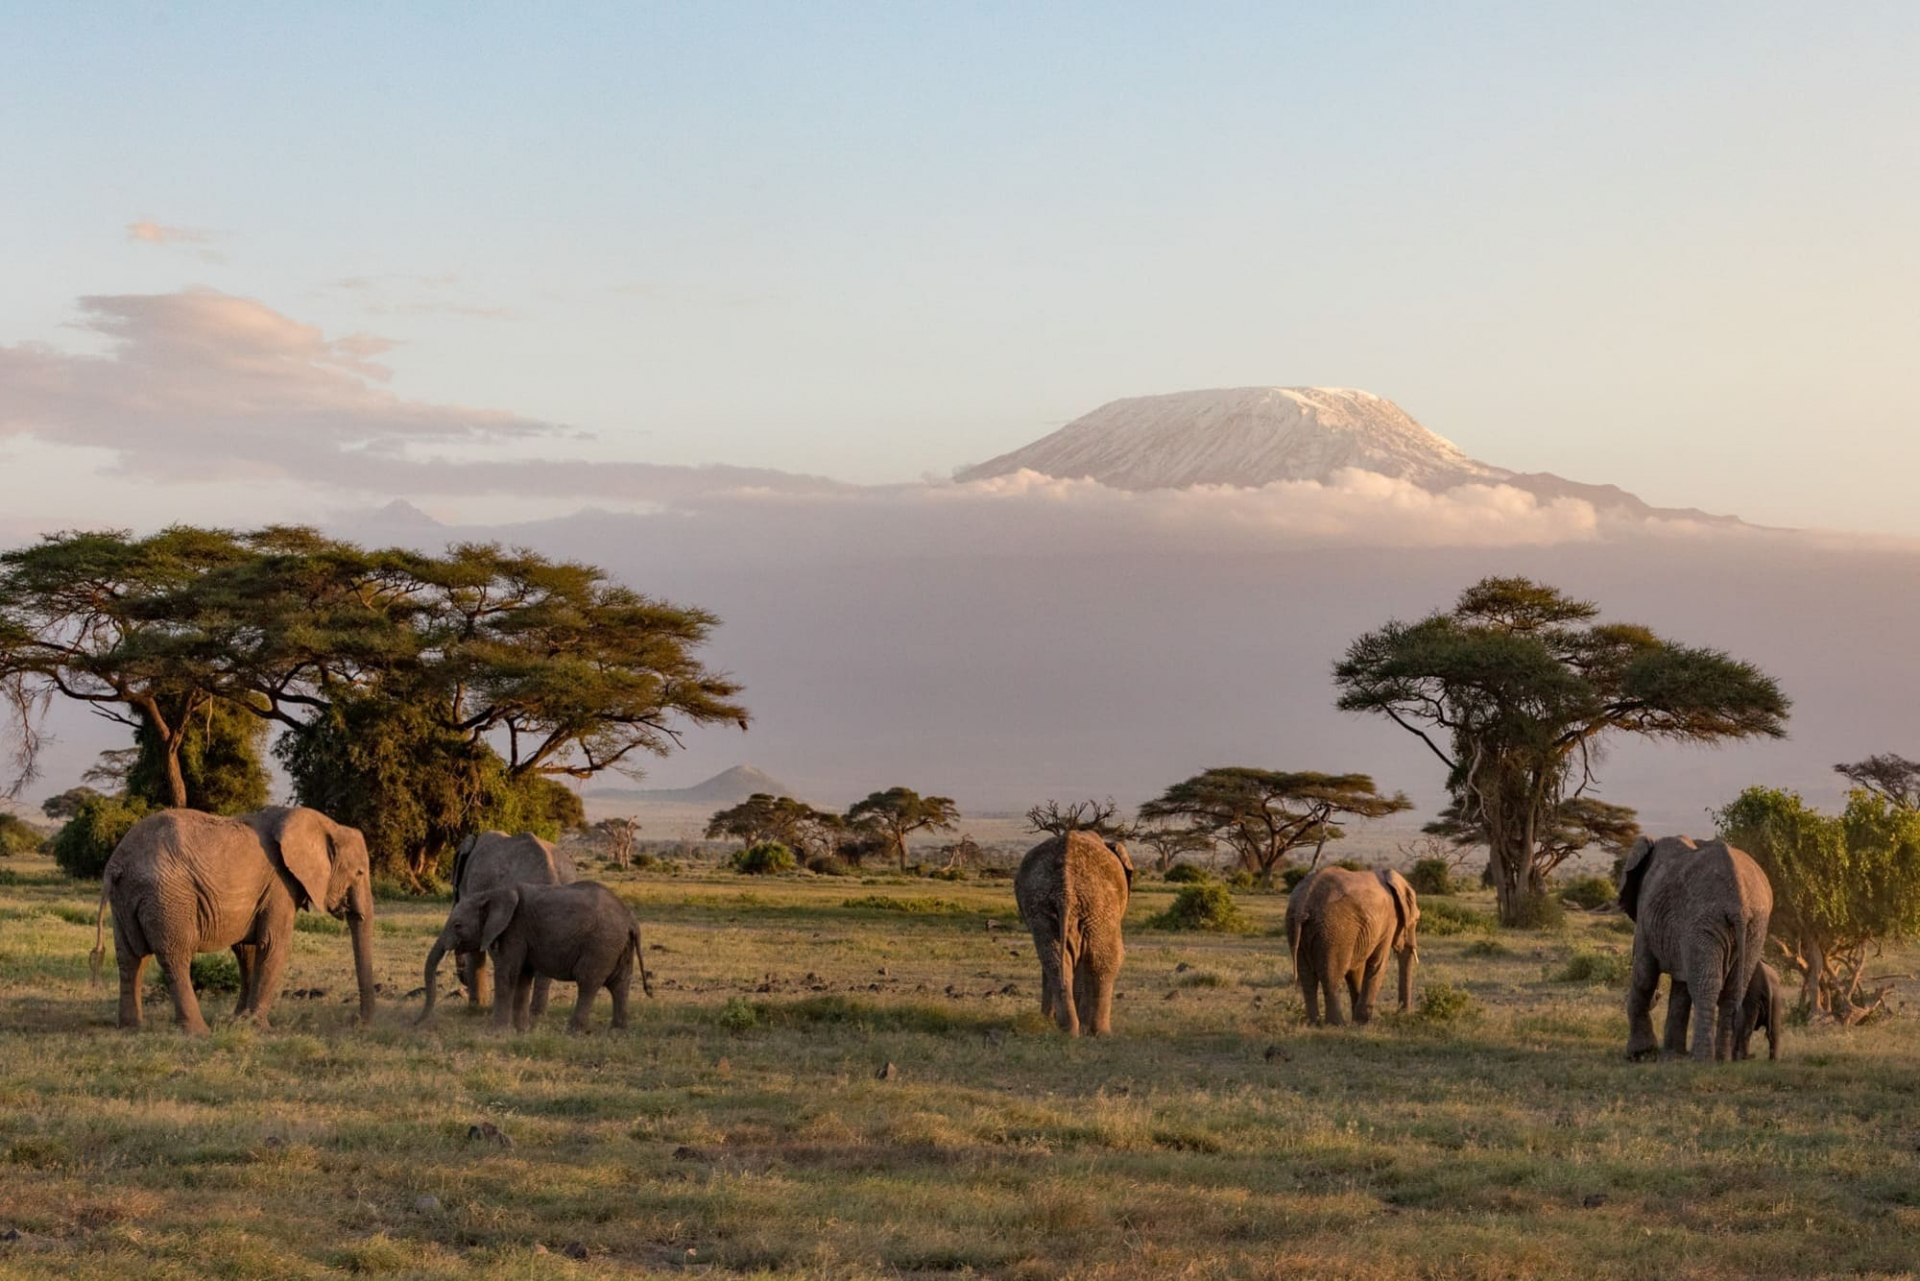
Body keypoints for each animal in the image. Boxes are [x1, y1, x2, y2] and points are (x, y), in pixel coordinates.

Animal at [90, 806, 376, 1034]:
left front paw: (239, 1021)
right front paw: (260, 1028)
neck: (326, 824)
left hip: (126, 899)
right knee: (175, 956)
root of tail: (117, 865)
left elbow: (247, 950)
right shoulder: (280, 885)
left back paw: (131, 1027)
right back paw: (199, 1032)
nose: (356, 1022)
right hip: (167, 896)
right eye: (360, 873)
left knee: (131, 958)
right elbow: (274, 945)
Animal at [419, 880, 652, 1032]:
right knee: (620, 985)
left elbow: (507, 974)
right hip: (619, 945)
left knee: (588, 982)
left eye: (457, 925)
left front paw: (496, 1032)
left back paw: (573, 1031)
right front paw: (521, 1031)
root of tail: (631, 919)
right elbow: (522, 977)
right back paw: (618, 1031)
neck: (491, 894)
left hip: (600, 944)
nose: (417, 1023)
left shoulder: (514, 930)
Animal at [1013, 831, 1133, 1036]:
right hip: (1099, 902)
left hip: (1041, 905)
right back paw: (1101, 1032)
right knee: (1105, 959)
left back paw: (1067, 1030)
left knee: (1052, 959)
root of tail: (1065, 889)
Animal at [1285, 867, 1419, 1025]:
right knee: (1331, 976)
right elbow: (1377, 964)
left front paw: (1356, 1020)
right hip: (1334, 930)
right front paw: (1363, 1022)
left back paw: (1314, 1023)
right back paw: (1336, 1024)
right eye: (1417, 919)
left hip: (1296, 927)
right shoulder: (1388, 922)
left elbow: (1356, 970)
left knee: (1307, 978)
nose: (1402, 1012)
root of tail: (1304, 901)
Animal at [1618, 835, 1774, 1062]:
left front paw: (1639, 1054)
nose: (1658, 997)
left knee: (1704, 986)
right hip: (1754, 927)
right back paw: (1721, 1059)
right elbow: (1680, 987)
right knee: (1732, 991)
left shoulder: (1646, 912)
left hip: (1703, 919)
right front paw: (1671, 1055)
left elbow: (1644, 976)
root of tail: (1740, 901)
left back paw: (1701, 1059)